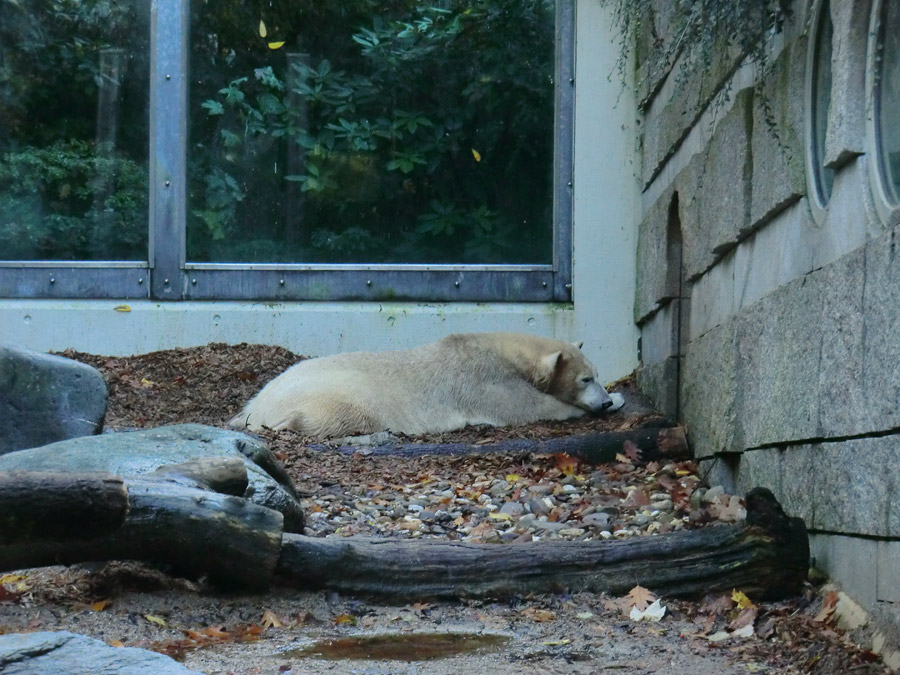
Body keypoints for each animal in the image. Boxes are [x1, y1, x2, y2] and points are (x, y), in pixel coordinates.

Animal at [229, 332, 624, 438]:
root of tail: (258, 405)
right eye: (586, 378)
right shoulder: (484, 379)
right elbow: (526, 406)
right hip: (340, 393)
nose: (604, 401)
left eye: (597, 373)